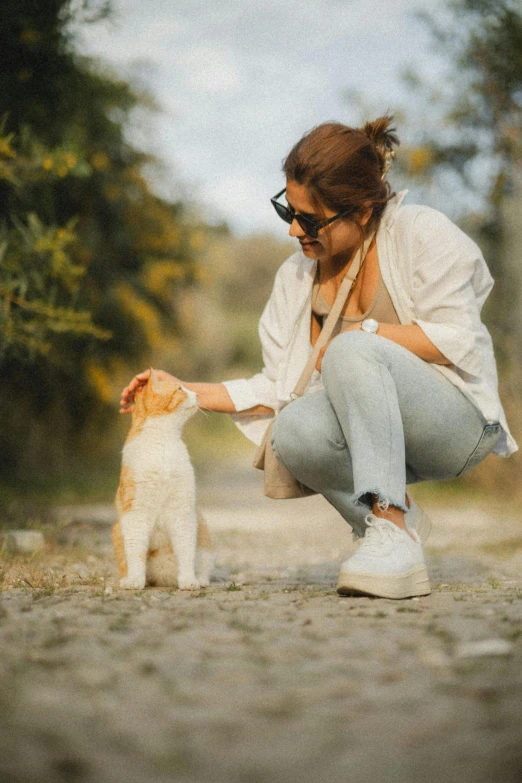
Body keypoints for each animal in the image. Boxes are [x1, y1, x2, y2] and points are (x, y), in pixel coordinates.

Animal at [112, 370, 212, 592]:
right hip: (117, 528)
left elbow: (185, 549)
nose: (198, 394)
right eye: (180, 389)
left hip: (201, 527)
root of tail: (162, 577)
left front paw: (188, 580)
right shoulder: (136, 512)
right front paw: (135, 581)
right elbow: (135, 551)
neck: (162, 443)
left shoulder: (183, 511)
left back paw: (200, 579)